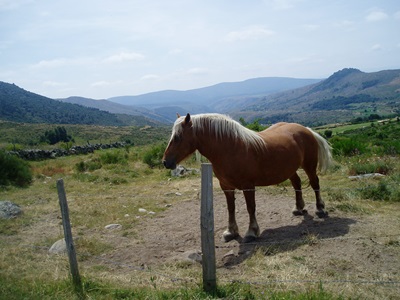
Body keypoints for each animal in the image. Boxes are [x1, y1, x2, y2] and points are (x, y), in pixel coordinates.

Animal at [161, 113, 332, 243]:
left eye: (178, 137)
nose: (165, 162)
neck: (230, 148)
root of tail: (306, 130)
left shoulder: (248, 186)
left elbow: (251, 208)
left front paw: (252, 232)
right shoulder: (226, 186)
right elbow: (231, 208)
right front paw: (231, 232)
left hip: (309, 166)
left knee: (315, 183)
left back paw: (320, 209)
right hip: (290, 169)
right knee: (297, 183)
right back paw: (298, 208)